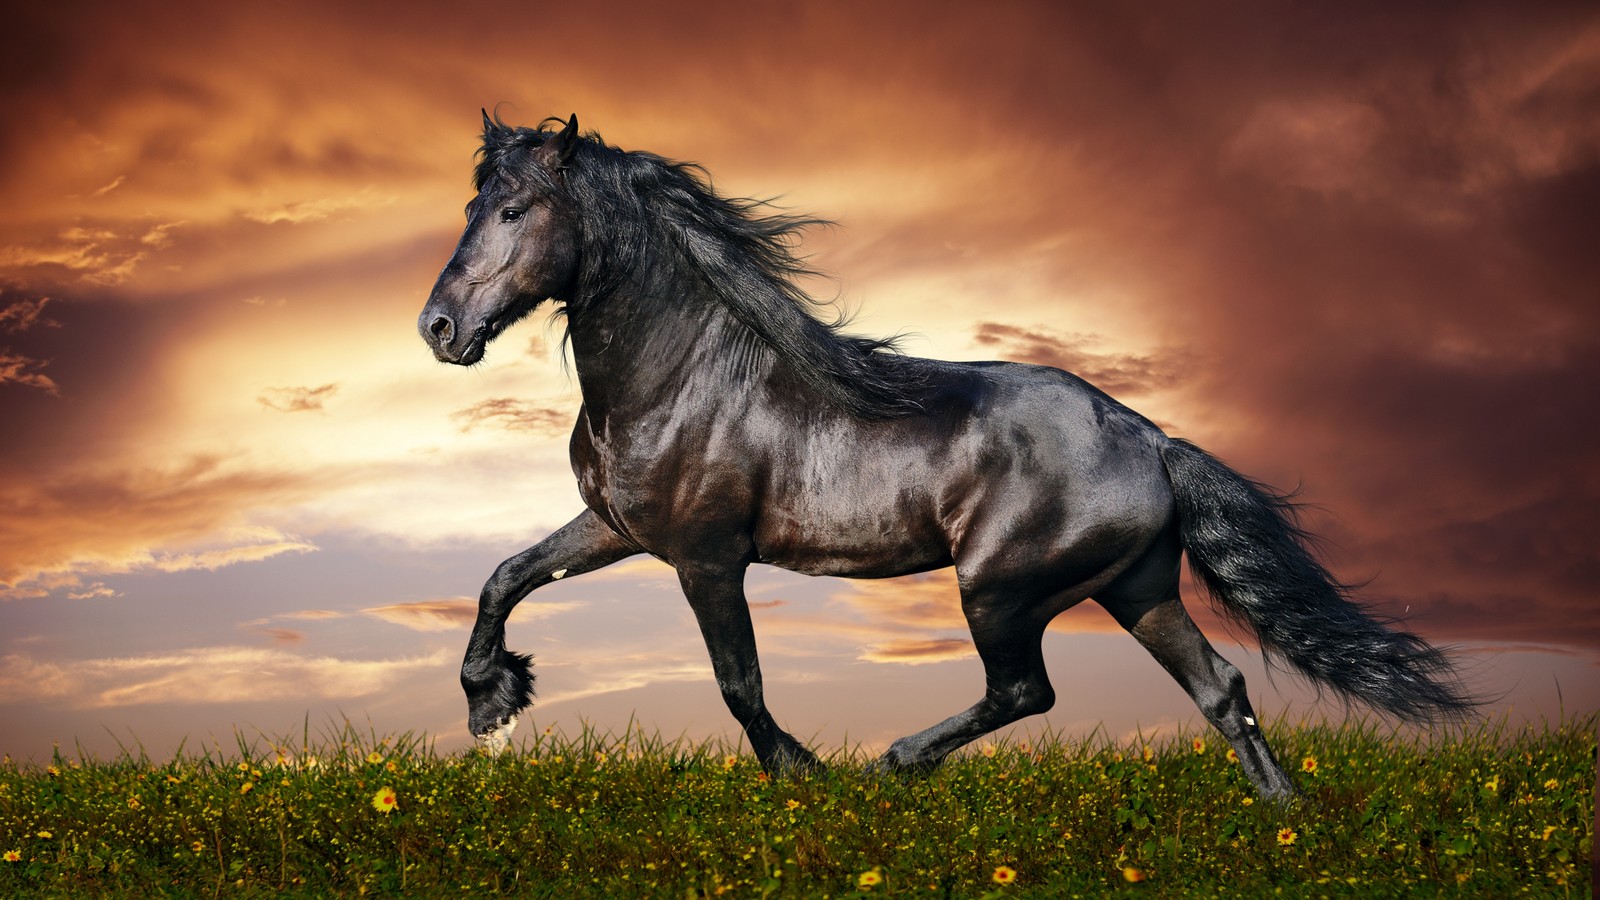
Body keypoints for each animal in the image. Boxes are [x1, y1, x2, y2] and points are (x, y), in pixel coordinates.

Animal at [416, 112, 1472, 791]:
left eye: (515, 212)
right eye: (473, 207)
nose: (438, 328)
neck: (679, 376)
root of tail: (1151, 439)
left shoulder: (707, 558)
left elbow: (738, 682)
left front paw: (803, 775)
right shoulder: (618, 527)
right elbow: (505, 576)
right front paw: (491, 703)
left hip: (1000, 588)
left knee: (1026, 690)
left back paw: (895, 763)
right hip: (1137, 588)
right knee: (1222, 691)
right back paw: (1282, 820)